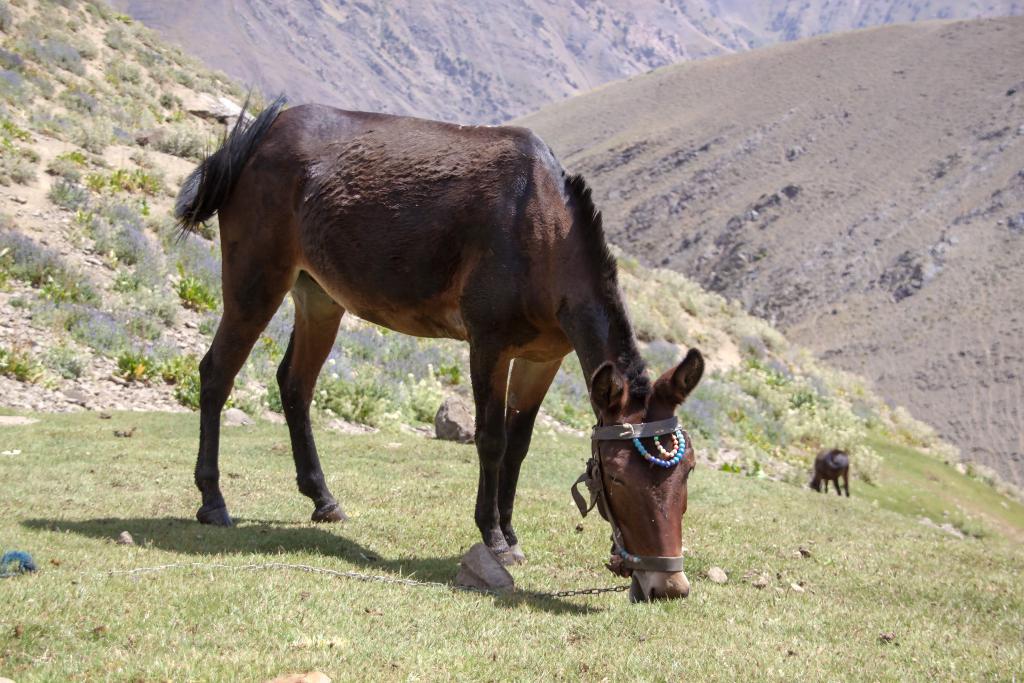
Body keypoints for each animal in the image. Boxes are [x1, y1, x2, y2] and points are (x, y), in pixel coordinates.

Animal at [176, 97, 704, 602]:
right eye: (615, 477)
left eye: (688, 471)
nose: (667, 587)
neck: (542, 228)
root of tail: (257, 139)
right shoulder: (489, 345)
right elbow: (491, 440)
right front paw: (493, 537)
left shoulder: (543, 359)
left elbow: (519, 445)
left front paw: (511, 532)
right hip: (256, 280)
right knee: (216, 373)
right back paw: (213, 501)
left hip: (319, 297)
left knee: (295, 384)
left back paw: (323, 499)